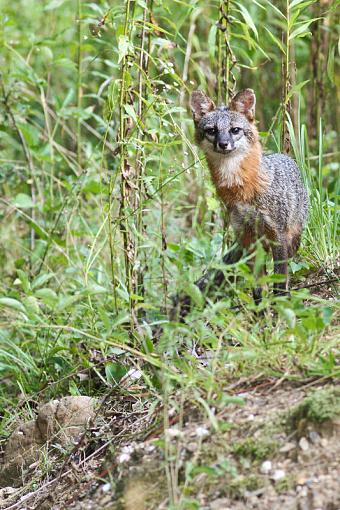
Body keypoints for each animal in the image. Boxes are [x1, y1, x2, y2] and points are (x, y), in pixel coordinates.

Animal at [175, 89, 308, 316]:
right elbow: (258, 288)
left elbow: (279, 281)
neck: (242, 189)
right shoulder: (247, 237)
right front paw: (262, 316)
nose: (223, 144)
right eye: (212, 131)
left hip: (292, 240)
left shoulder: (278, 235)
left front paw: (282, 309)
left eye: (235, 130)